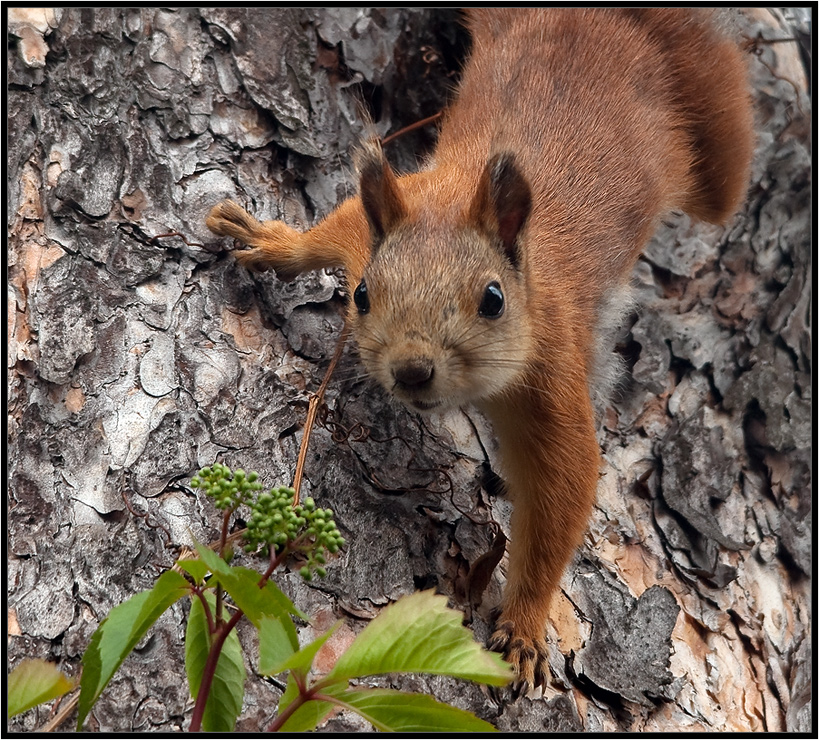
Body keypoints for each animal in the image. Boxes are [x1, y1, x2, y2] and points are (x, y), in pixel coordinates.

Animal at [207, 7, 756, 688]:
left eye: (493, 299)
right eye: (361, 295)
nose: (412, 370)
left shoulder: (552, 369)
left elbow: (563, 488)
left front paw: (524, 627)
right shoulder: (382, 219)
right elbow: (334, 228)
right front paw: (274, 242)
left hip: (717, 160)